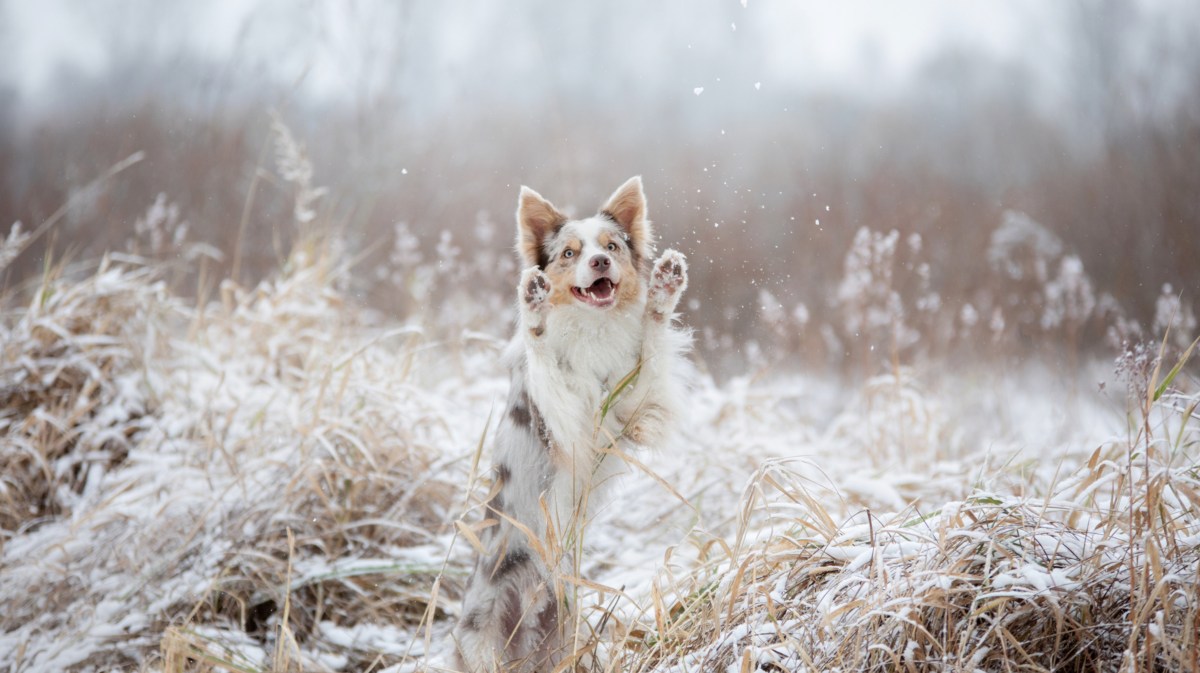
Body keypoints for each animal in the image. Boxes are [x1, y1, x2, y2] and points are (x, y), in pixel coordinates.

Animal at [451, 176, 696, 667]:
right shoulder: (560, 422)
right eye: (569, 253)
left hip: (571, 635)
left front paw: (663, 291)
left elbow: (652, 349)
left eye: (612, 246)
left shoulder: (633, 408)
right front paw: (535, 308)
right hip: (482, 641)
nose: (599, 261)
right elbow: (544, 356)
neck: (591, 328)